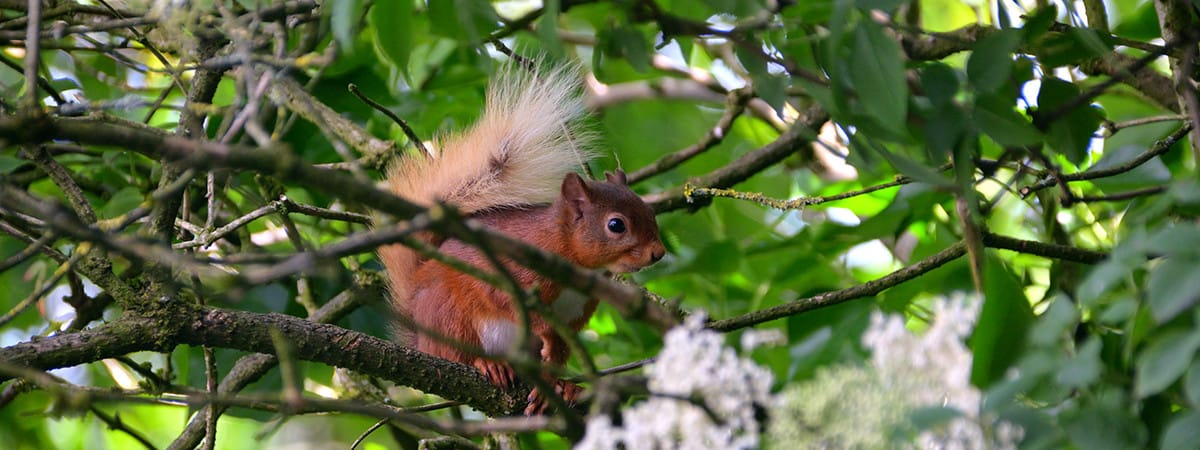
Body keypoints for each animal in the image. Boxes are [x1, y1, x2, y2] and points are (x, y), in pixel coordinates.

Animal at [377, 64, 666, 415]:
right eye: (616, 225)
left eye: (649, 211)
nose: (658, 253)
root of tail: (420, 335)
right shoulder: (511, 272)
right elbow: (507, 301)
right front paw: (543, 333)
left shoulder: (576, 313)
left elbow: (561, 345)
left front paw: (557, 382)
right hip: (447, 315)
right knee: (457, 354)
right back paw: (488, 364)